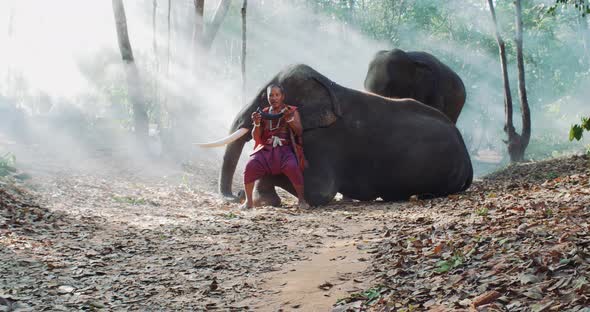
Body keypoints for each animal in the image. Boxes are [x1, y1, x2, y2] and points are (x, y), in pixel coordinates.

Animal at [206, 64, 474, 206]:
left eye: (264, 98)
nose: (236, 195)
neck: (328, 86)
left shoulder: (325, 141)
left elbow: (319, 190)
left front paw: (262, 198)